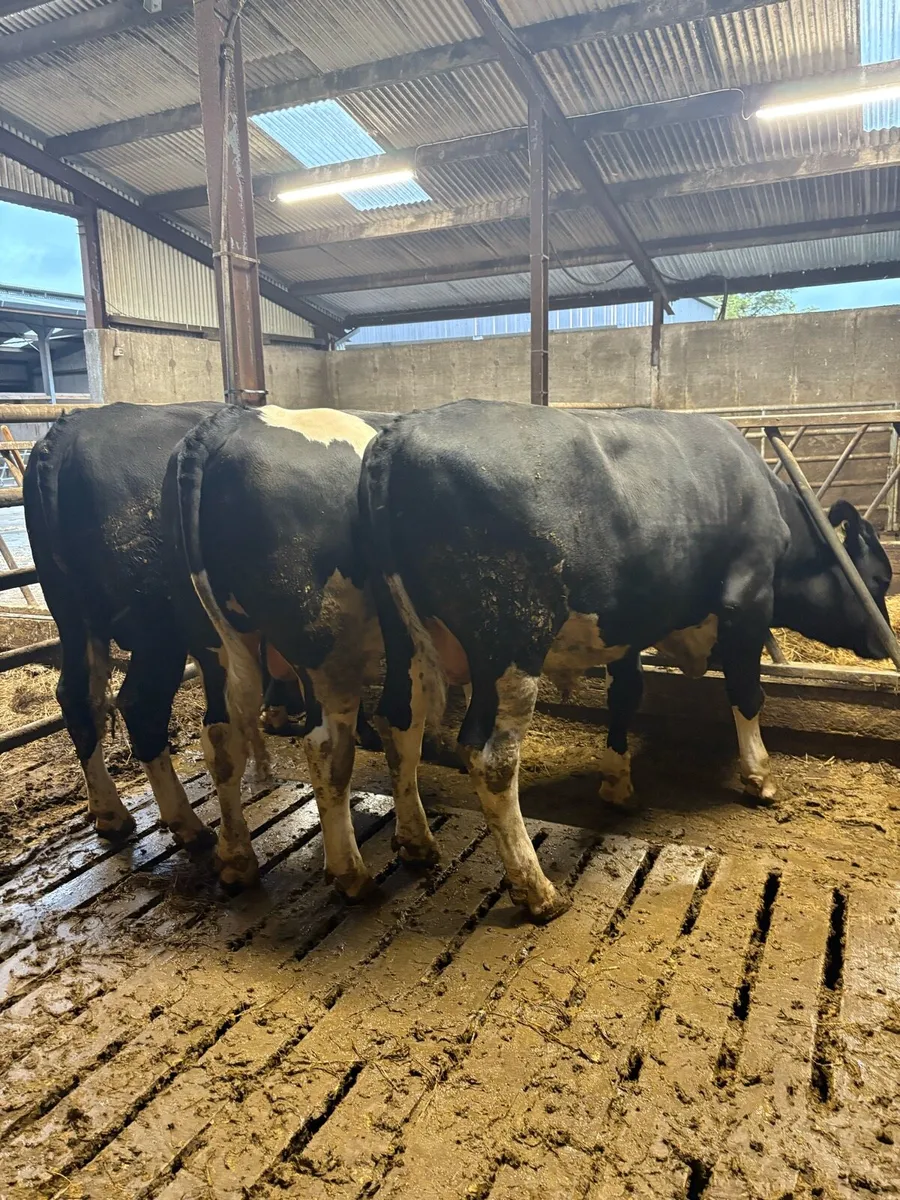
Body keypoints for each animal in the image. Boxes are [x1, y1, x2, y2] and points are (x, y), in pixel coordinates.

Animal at [166, 404, 411, 898]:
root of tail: (227, 424)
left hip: (213, 644)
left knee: (220, 737)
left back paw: (236, 861)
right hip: (327, 652)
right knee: (326, 747)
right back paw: (351, 874)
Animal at [357, 398, 893, 923]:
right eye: (881, 578)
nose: (886, 642)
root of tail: (399, 433)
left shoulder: (631, 622)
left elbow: (626, 695)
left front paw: (617, 783)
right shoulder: (748, 601)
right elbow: (746, 693)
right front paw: (760, 776)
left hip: (403, 638)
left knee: (399, 722)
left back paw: (418, 843)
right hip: (512, 642)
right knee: (491, 759)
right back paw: (538, 891)